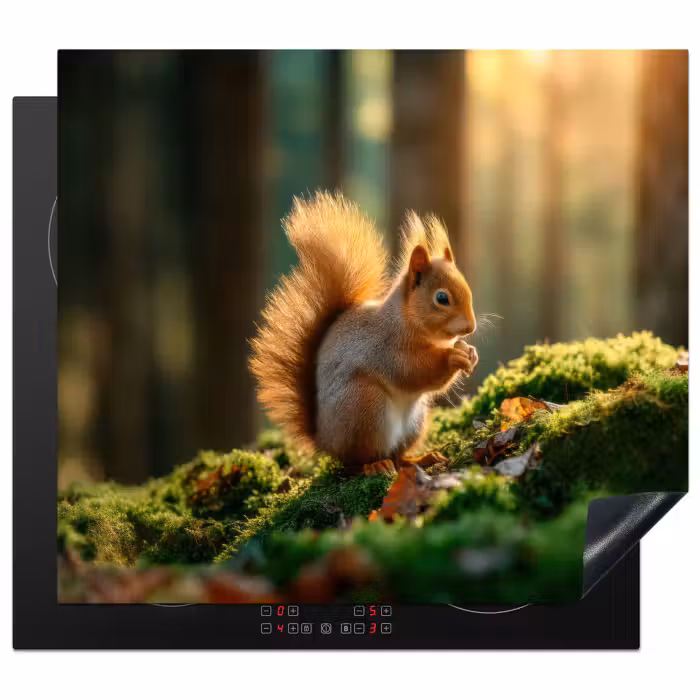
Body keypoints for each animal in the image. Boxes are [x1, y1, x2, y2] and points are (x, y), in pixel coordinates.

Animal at [249, 192, 478, 476]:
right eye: (442, 298)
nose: (471, 327)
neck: (405, 320)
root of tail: (324, 440)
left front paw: (470, 353)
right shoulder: (386, 348)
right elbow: (415, 371)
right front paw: (453, 357)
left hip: (414, 423)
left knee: (398, 456)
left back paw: (420, 459)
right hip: (365, 408)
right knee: (357, 460)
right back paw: (375, 465)